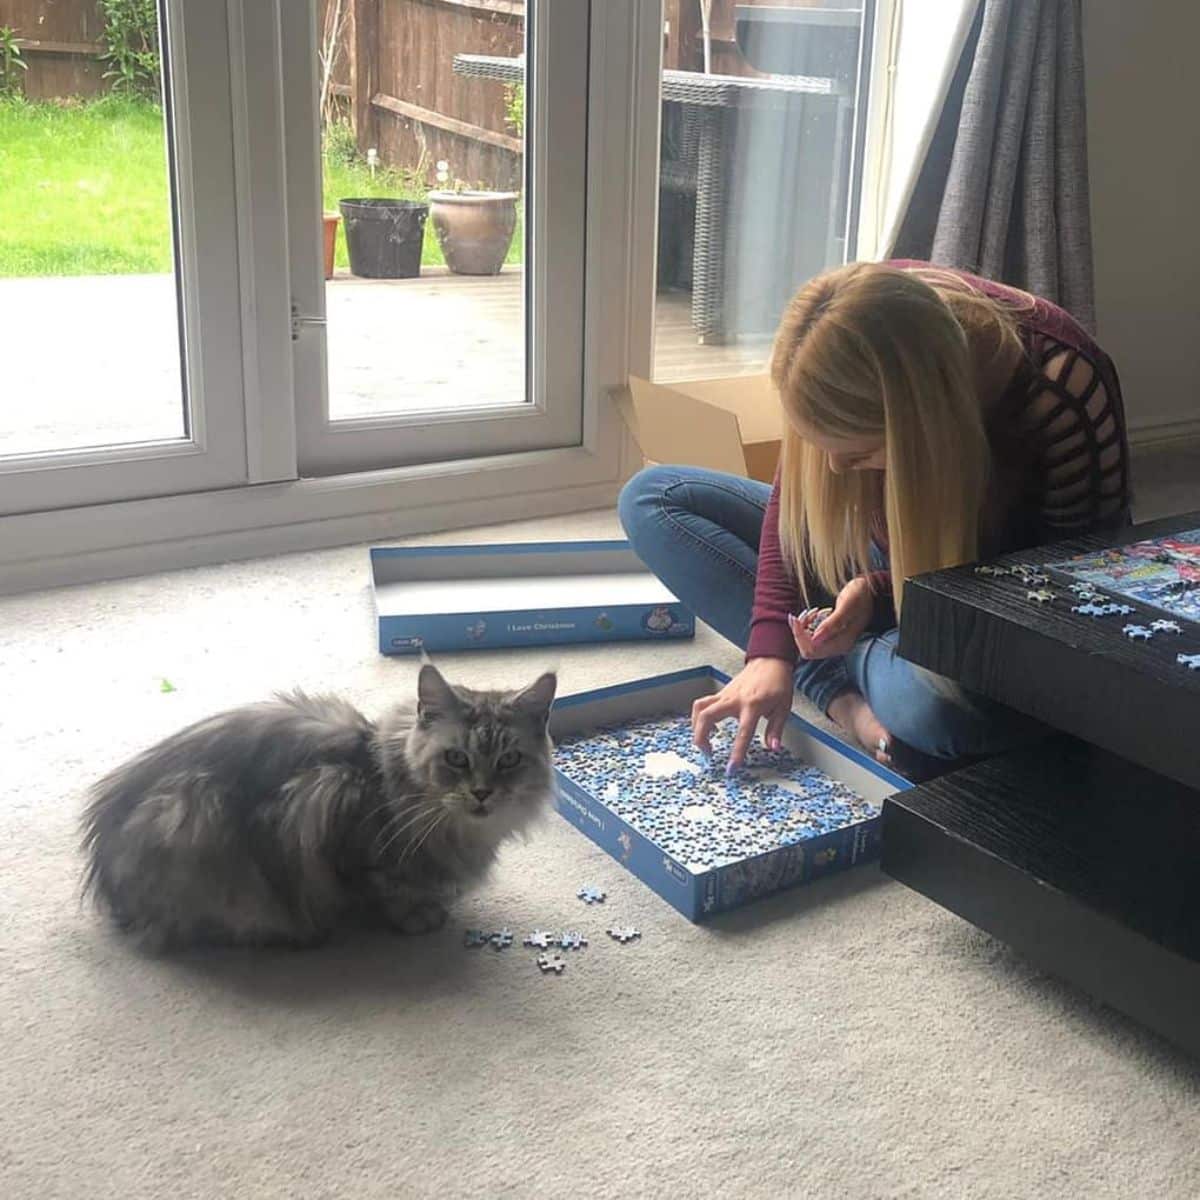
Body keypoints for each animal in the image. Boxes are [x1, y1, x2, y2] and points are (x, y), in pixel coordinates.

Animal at [79, 662, 556, 950]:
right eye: (457, 758)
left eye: (508, 760)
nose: (482, 792)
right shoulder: (343, 821)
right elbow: (387, 891)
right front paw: (418, 916)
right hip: (193, 817)